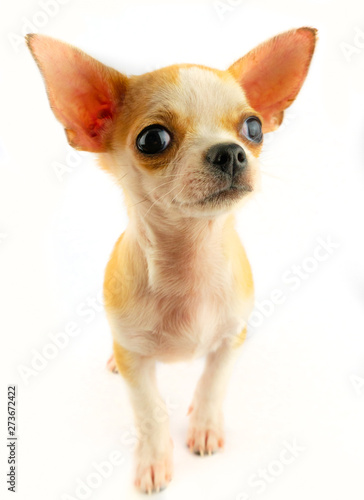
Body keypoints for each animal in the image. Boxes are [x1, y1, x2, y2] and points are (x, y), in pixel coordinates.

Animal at [27, 29, 316, 494]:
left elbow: (213, 383)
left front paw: (205, 426)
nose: (231, 152)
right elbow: (150, 410)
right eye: (153, 140)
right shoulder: (137, 363)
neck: (191, 263)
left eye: (253, 128)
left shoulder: (232, 338)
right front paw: (153, 460)